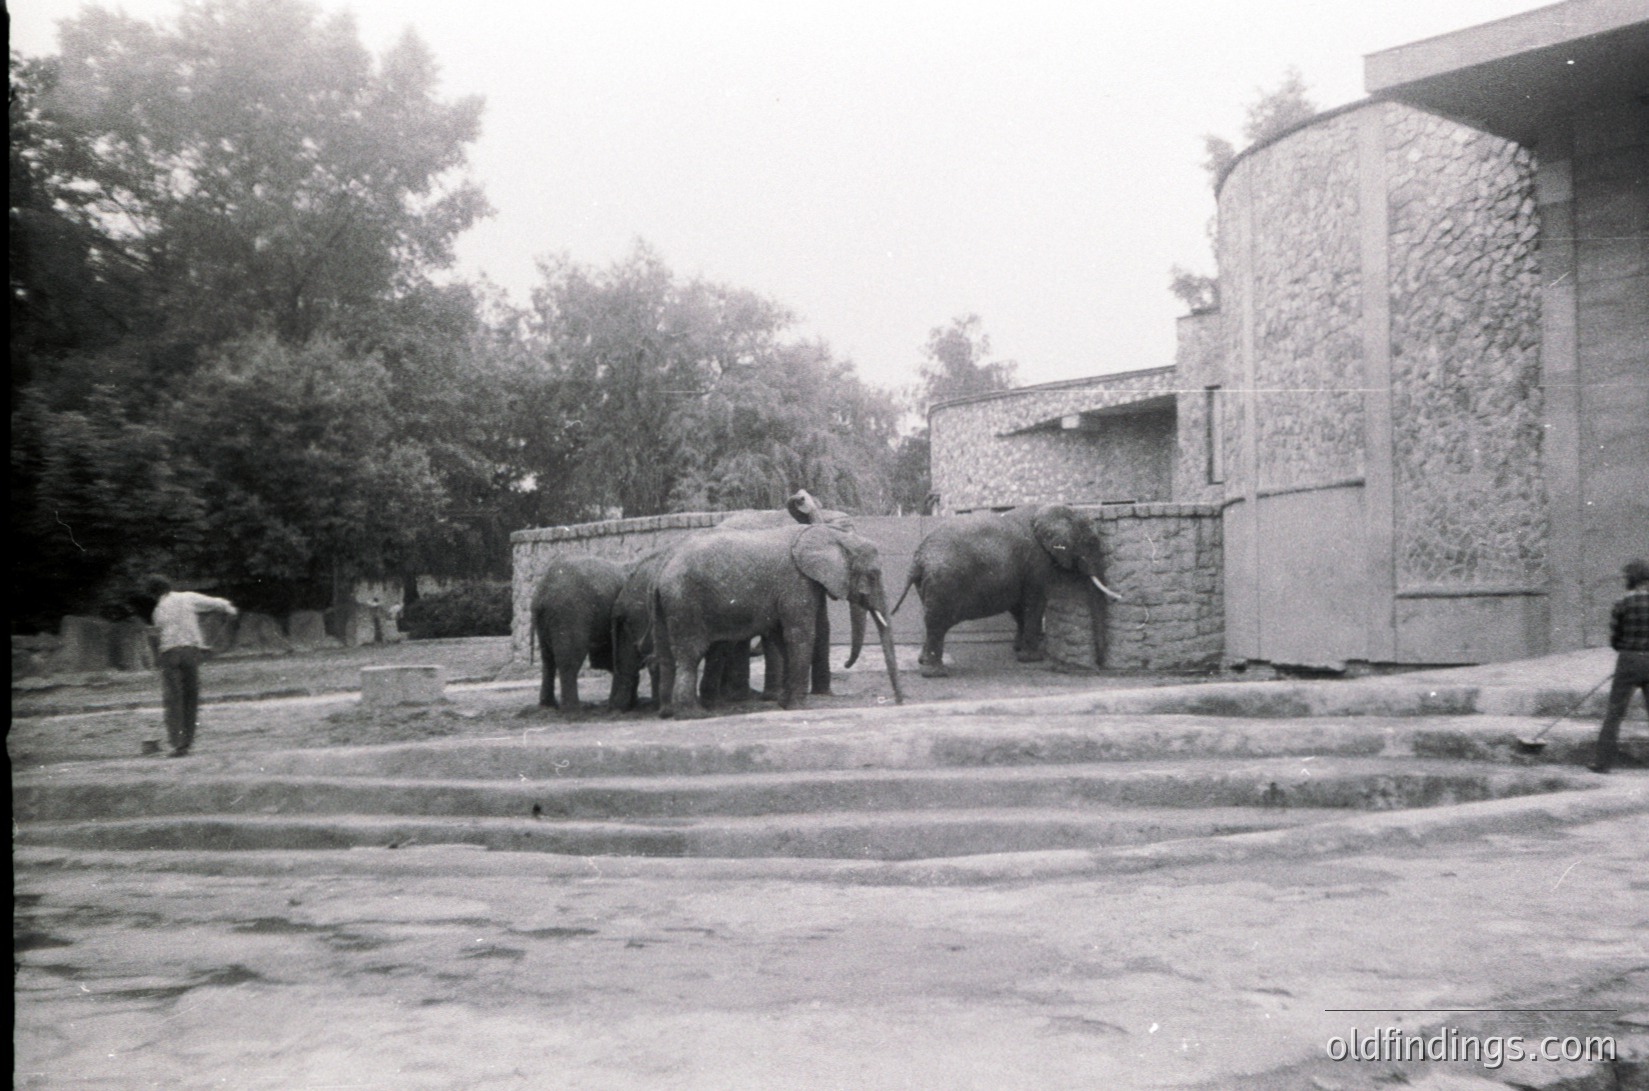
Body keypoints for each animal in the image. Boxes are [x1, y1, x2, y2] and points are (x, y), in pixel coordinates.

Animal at [530, 554, 627, 709]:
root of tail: (542, 591)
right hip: (570, 613)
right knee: (569, 659)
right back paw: (574, 708)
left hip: (547, 619)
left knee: (548, 658)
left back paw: (548, 704)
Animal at [653, 523, 904, 718]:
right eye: (873, 575)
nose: (899, 701)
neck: (832, 534)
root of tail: (663, 566)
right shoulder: (797, 582)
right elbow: (799, 634)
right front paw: (799, 707)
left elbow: (782, 637)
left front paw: (784, 704)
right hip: (685, 600)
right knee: (690, 653)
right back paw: (694, 715)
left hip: (668, 604)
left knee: (667, 654)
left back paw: (671, 712)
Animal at [892, 504, 1122, 678]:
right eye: (1092, 542)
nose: (1100, 664)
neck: (1053, 508)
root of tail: (918, 558)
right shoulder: (1036, 562)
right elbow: (1034, 602)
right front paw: (1032, 658)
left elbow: (1019, 605)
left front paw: (1018, 649)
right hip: (943, 581)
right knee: (936, 622)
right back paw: (936, 673)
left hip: (927, 583)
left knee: (930, 616)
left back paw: (923, 661)